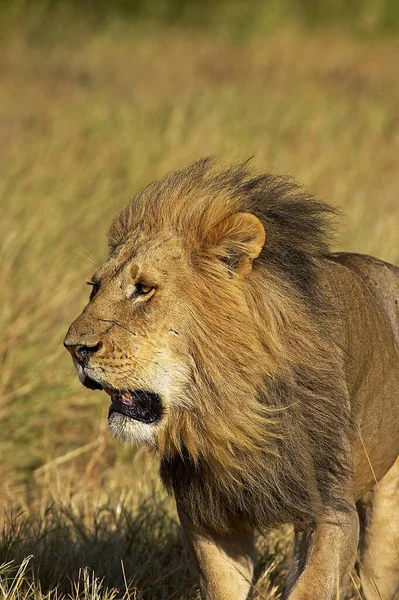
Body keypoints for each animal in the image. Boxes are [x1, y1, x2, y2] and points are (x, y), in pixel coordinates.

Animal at [64, 159, 399, 600]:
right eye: (95, 287)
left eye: (144, 289)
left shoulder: (331, 508)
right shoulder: (209, 517)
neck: (226, 410)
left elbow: (312, 586)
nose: (73, 348)